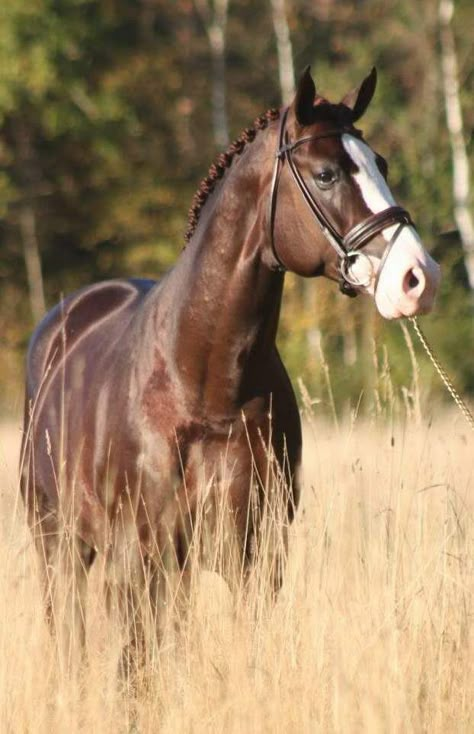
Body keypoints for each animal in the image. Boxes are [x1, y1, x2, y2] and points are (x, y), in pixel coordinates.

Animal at [19, 67, 440, 668]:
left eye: (380, 162)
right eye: (327, 173)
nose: (417, 277)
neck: (199, 385)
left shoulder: (256, 558)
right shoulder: (138, 560)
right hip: (58, 546)